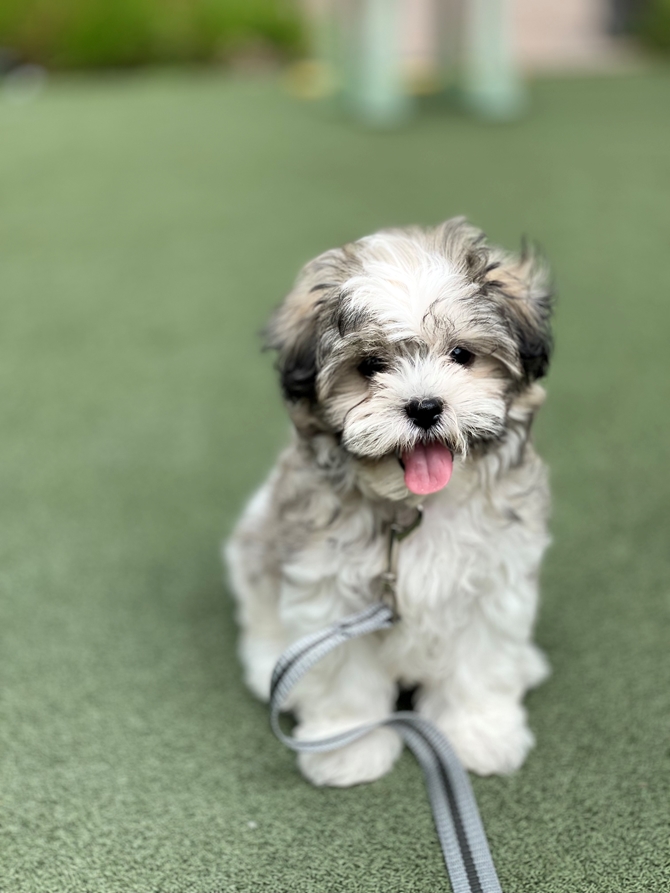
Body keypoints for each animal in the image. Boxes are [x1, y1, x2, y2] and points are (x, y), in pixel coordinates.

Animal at [226, 218, 556, 788]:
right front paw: (348, 746)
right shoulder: (331, 591)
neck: (415, 509)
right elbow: (343, 676)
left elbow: (481, 663)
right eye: (371, 365)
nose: (424, 407)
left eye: (461, 355)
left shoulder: (493, 578)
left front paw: (480, 733)